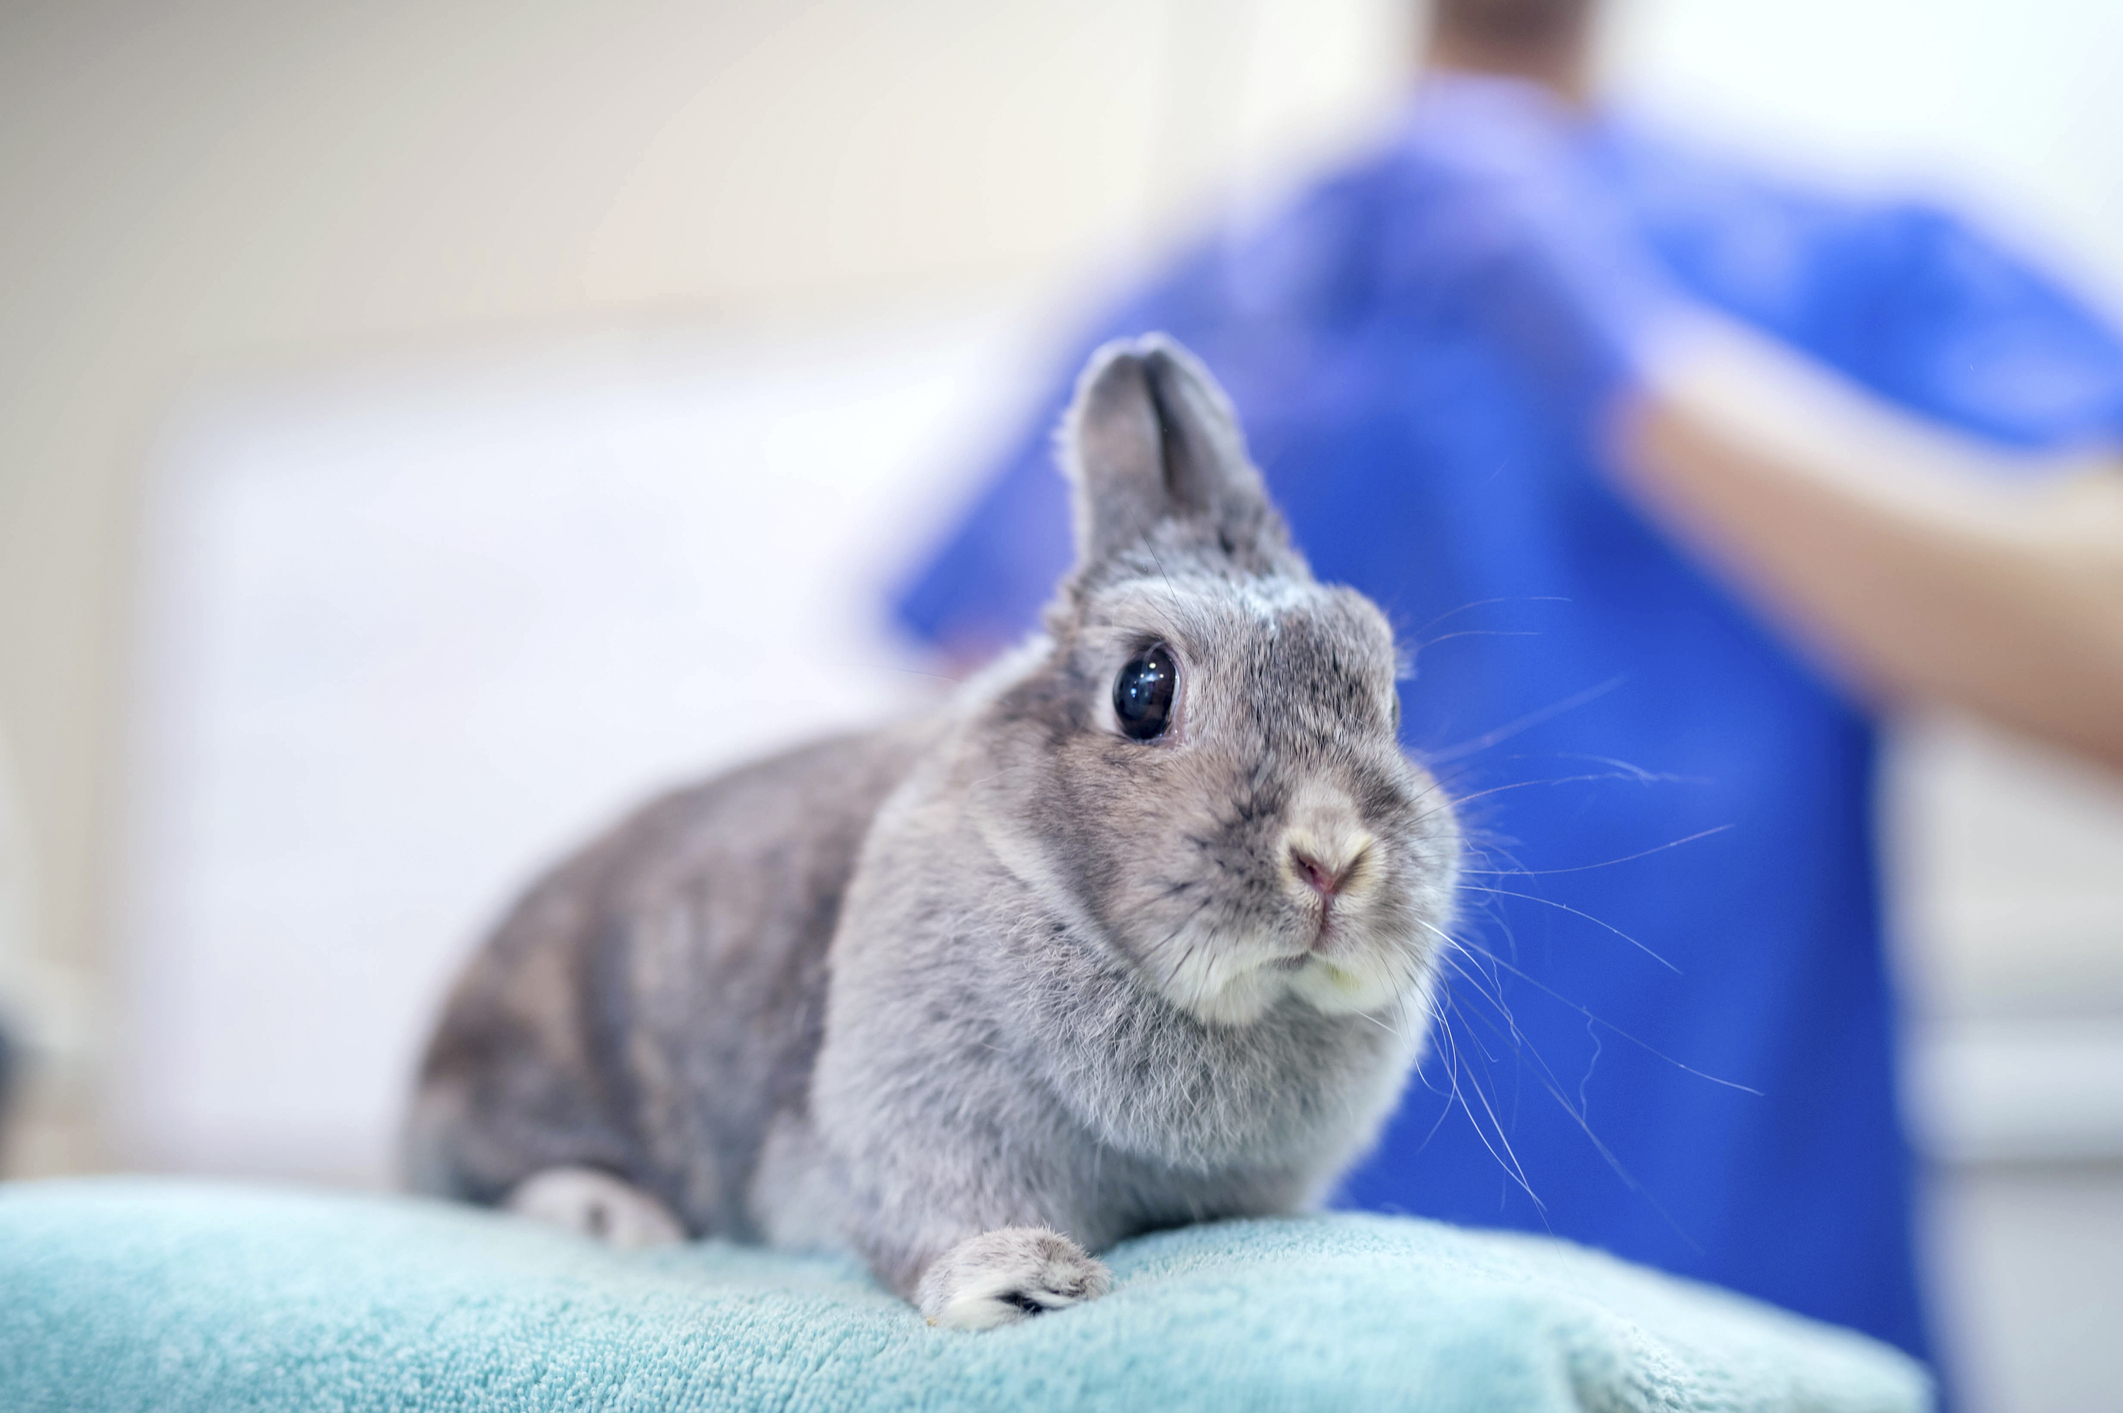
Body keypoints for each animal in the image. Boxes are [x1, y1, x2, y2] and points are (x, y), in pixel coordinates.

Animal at [405, 334, 1460, 1328]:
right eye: (1143, 688)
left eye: (1392, 704)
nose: (1331, 860)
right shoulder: (915, 1117)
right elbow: (936, 1216)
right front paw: (1023, 1279)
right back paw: (613, 1215)